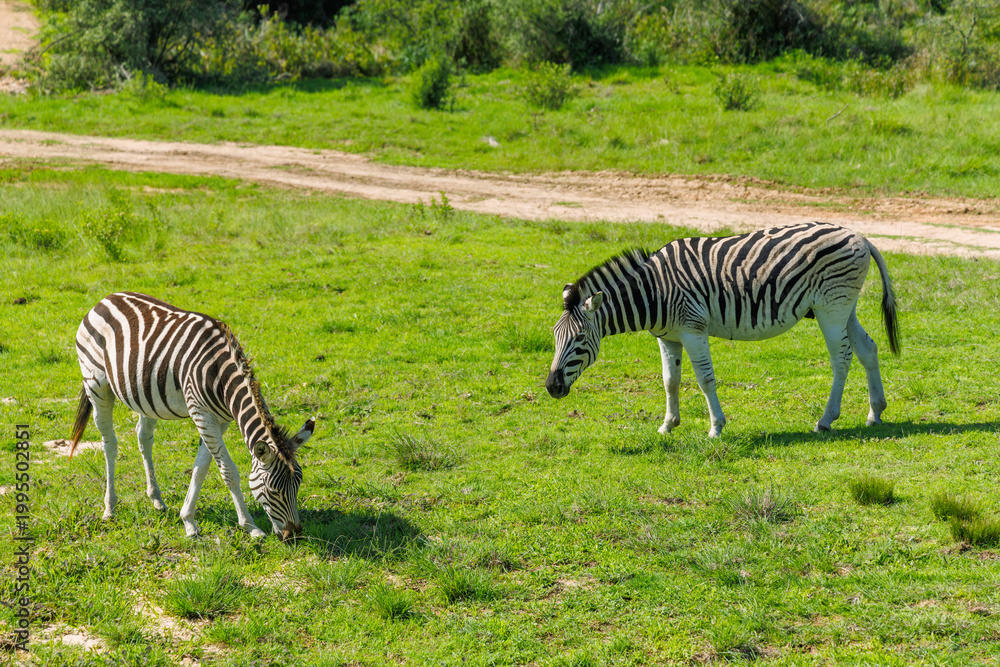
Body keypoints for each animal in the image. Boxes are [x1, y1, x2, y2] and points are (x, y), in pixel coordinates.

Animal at [70, 291, 315, 540]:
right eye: (273, 490)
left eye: (299, 484)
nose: (294, 536)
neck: (221, 376)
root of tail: (106, 298)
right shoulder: (202, 415)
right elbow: (229, 472)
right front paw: (250, 526)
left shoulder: (219, 421)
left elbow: (201, 468)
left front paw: (188, 520)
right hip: (97, 386)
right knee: (109, 443)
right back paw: (110, 508)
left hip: (146, 396)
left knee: (143, 438)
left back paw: (156, 499)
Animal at [545, 222, 900, 437]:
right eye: (554, 336)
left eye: (579, 338)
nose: (551, 387)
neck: (654, 291)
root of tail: (859, 235)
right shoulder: (668, 337)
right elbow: (670, 381)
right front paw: (668, 425)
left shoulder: (693, 328)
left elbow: (704, 379)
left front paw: (716, 427)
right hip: (845, 306)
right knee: (868, 348)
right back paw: (875, 413)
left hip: (831, 307)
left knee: (842, 358)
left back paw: (826, 420)